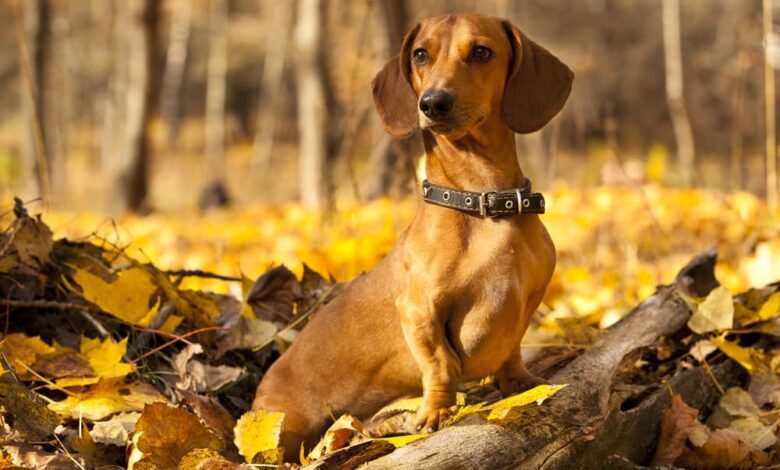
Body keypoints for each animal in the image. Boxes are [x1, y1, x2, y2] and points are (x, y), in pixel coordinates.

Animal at [253, 12, 568, 460]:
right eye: (421, 54)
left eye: (482, 52)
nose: (433, 102)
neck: (483, 205)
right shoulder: (420, 310)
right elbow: (439, 364)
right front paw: (435, 412)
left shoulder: (528, 300)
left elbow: (511, 352)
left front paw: (521, 384)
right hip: (285, 430)